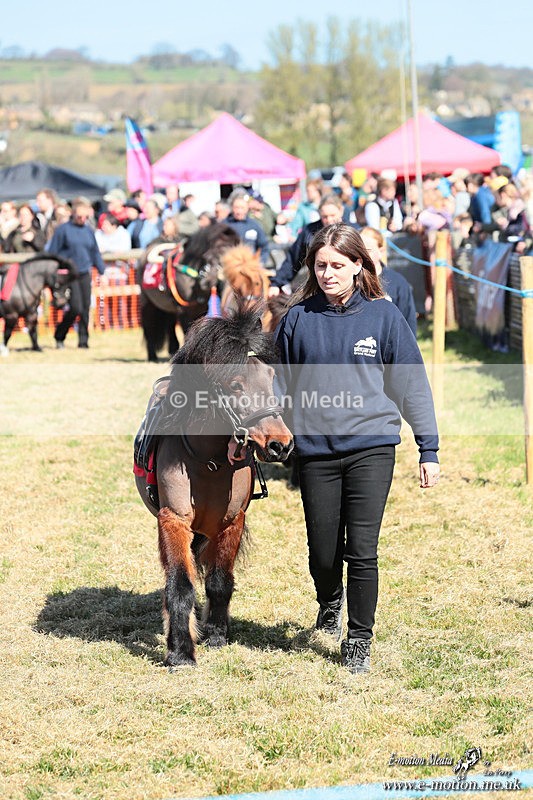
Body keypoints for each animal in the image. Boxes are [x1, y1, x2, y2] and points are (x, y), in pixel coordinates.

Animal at [134, 304, 294, 668]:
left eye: (271, 378)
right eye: (235, 384)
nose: (280, 444)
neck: (207, 461)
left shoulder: (231, 523)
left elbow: (220, 581)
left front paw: (217, 635)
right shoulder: (173, 521)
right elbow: (180, 585)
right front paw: (181, 651)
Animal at [139, 223, 241, 362]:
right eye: (208, 255)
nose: (207, 281)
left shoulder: (200, 310)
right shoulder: (183, 310)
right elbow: (186, 332)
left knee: (170, 323)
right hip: (147, 303)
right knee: (148, 325)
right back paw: (152, 356)